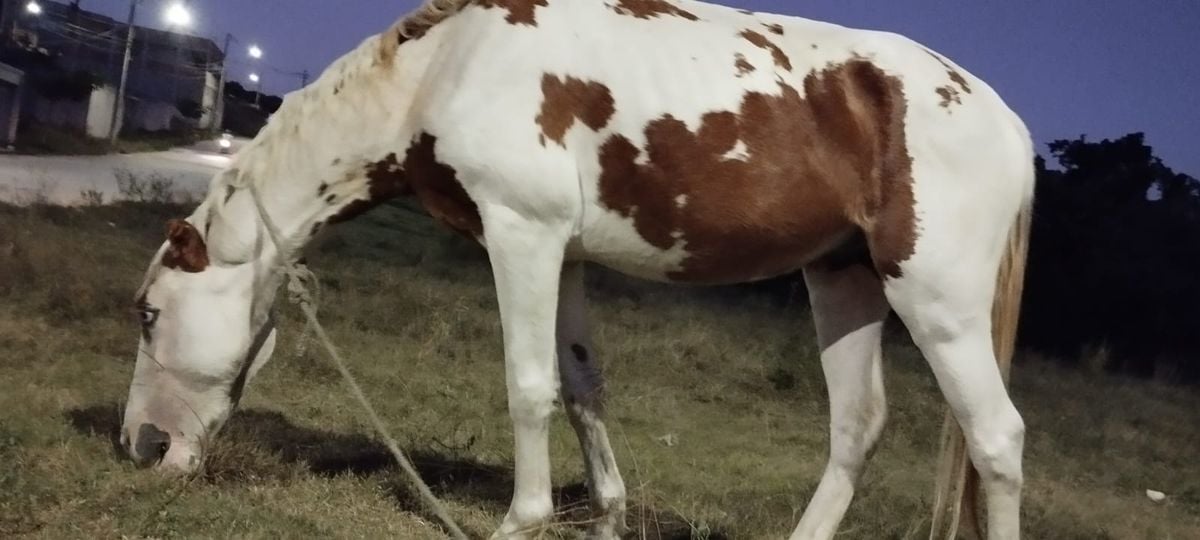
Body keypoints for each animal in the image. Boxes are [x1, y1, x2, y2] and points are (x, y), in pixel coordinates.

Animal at [124, 2, 1041, 537]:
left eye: (148, 312)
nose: (140, 447)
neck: (443, 70)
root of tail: (1010, 123)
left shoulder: (520, 235)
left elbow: (527, 385)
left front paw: (520, 522)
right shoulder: (560, 252)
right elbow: (580, 387)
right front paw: (605, 516)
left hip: (937, 301)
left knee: (996, 440)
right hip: (843, 280)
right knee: (857, 428)